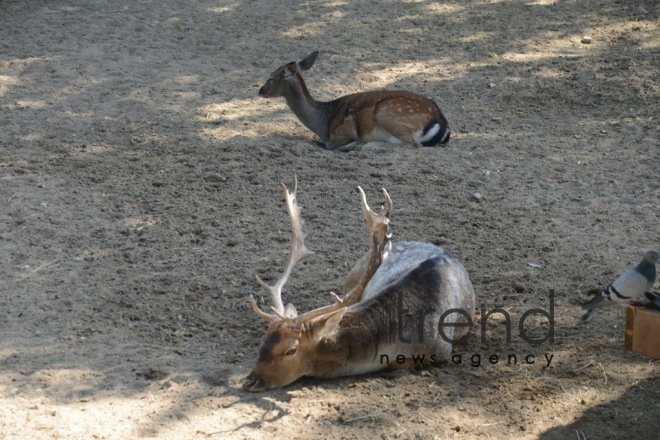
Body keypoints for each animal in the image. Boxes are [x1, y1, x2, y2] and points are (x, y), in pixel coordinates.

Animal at [256, 51, 448, 151]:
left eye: (271, 78)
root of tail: (440, 120)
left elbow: (331, 145)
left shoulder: (341, 133)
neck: (323, 123)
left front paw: (355, 144)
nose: (260, 90)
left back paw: (368, 145)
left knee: (413, 144)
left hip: (388, 113)